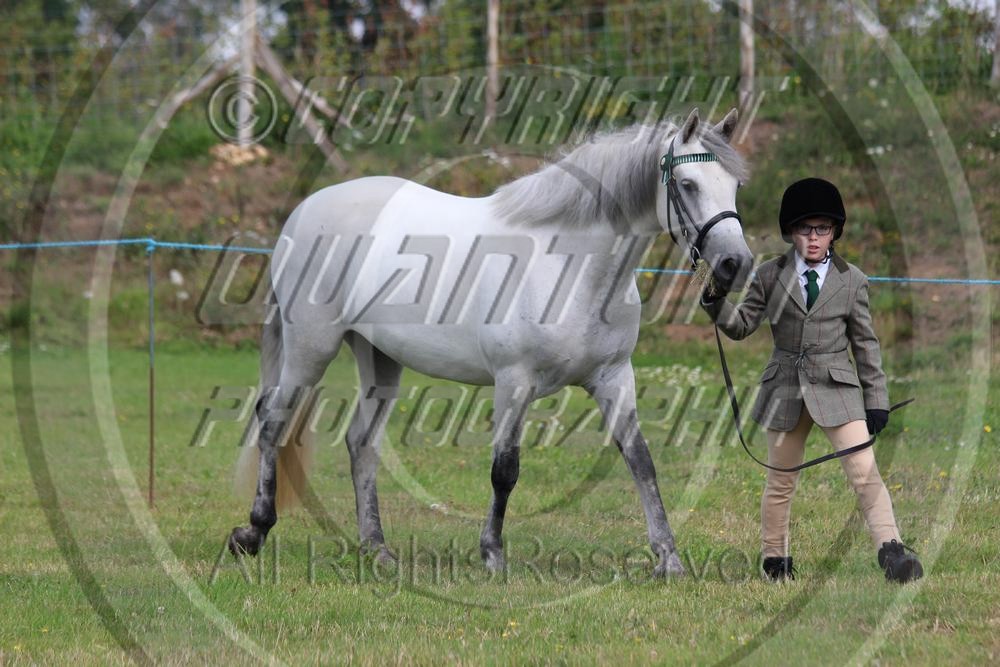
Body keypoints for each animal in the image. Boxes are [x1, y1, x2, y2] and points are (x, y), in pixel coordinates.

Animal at [228, 107, 753, 578]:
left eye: (734, 187)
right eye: (688, 184)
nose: (735, 264)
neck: (569, 265)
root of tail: (304, 210)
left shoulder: (613, 378)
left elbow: (640, 461)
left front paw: (669, 559)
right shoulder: (514, 381)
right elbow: (505, 470)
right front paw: (493, 556)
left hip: (379, 359)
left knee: (362, 443)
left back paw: (377, 550)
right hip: (310, 349)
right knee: (272, 421)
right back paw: (253, 533)